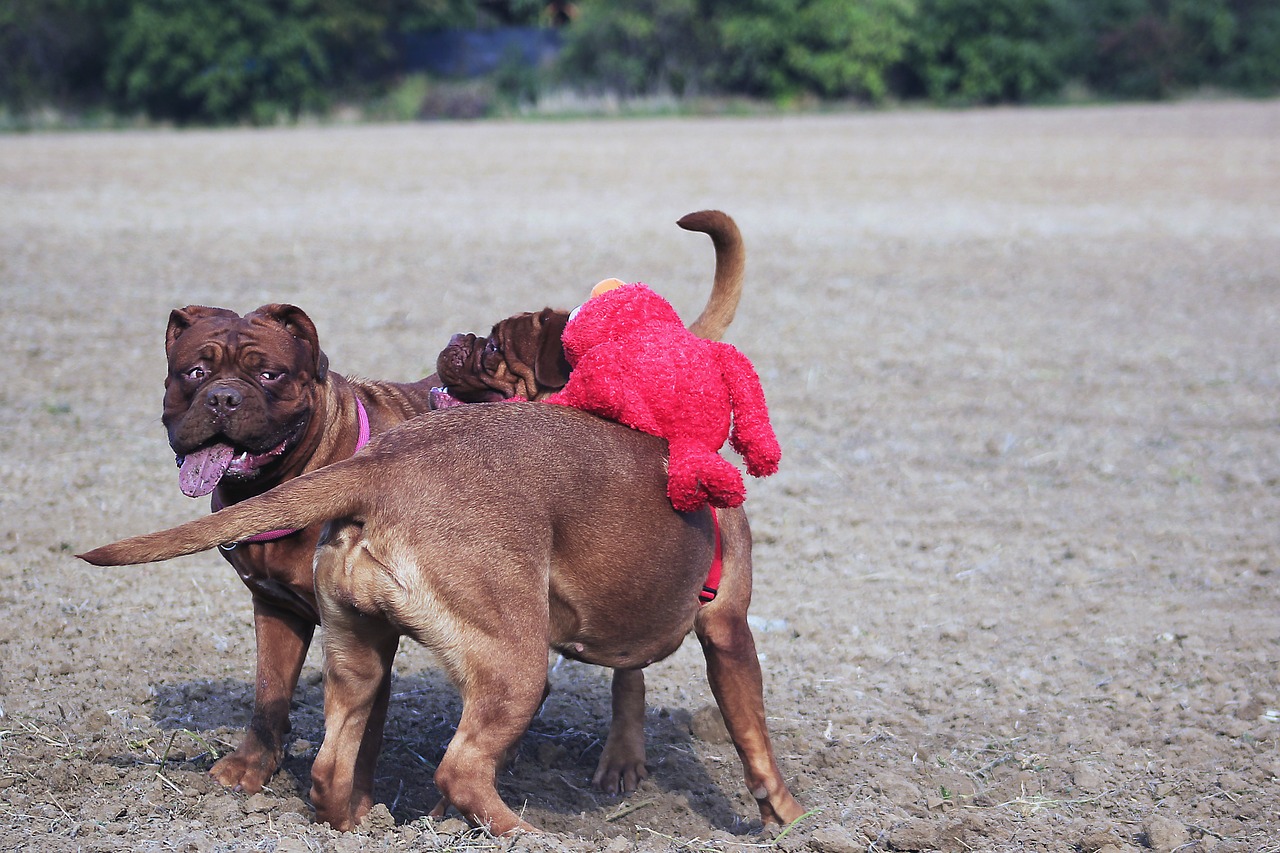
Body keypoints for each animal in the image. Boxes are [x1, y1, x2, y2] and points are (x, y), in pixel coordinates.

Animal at [80, 402, 798, 835]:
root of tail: (380, 468)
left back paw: (362, 827)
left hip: (359, 657)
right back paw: (526, 836)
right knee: (460, 769)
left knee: (333, 770)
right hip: (516, 668)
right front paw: (789, 818)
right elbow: (754, 742)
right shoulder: (729, 633)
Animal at [156, 300, 440, 788]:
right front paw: (252, 765)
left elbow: (360, 732)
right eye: (195, 372)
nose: (223, 398)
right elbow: (269, 690)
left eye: (269, 375)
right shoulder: (276, 606)